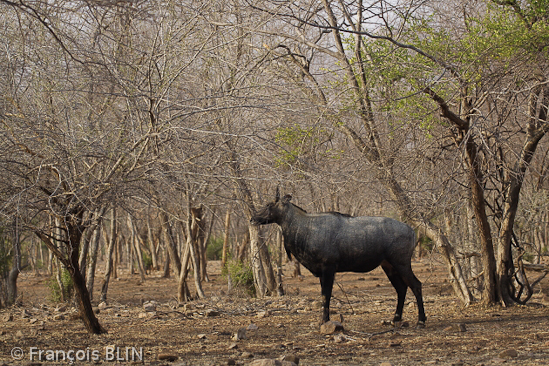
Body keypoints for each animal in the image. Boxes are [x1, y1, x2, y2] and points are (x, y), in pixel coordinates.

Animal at [250, 192, 426, 328]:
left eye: (269, 204)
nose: (252, 219)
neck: (306, 227)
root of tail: (412, 231)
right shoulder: (322, 272)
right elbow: (323, 295)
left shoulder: (328, 268)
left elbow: (326, 295)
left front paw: (325, 321)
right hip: (388, 266)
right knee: (401, 288)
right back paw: (395, 319)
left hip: (401, 263)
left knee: (416, 285)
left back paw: (421, 321)